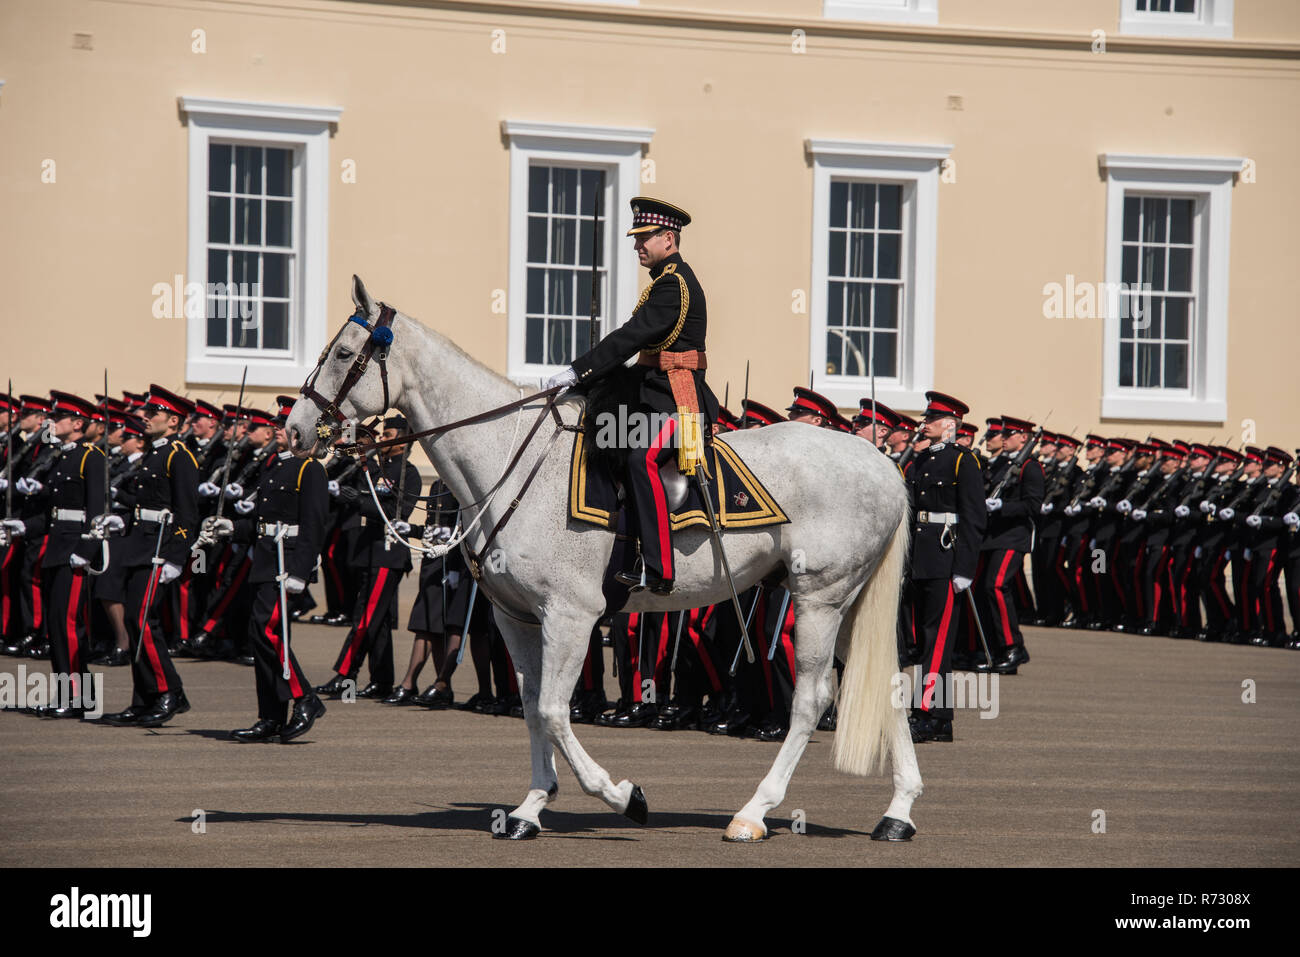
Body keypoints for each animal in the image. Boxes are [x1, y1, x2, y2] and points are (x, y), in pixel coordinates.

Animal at [292, 276, 925, 842]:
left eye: (344, 353)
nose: (299, 431)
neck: (511, 461)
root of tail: (879, 462)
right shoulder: (515, 617)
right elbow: (532, 707)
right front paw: (530, 807)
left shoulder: (571, 614)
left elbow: (554, 710)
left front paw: (623, 796)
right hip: (850, 602)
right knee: (889, 687)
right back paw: (898, 813)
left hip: (818, 598)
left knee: (811, 700)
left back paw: (754, 812)